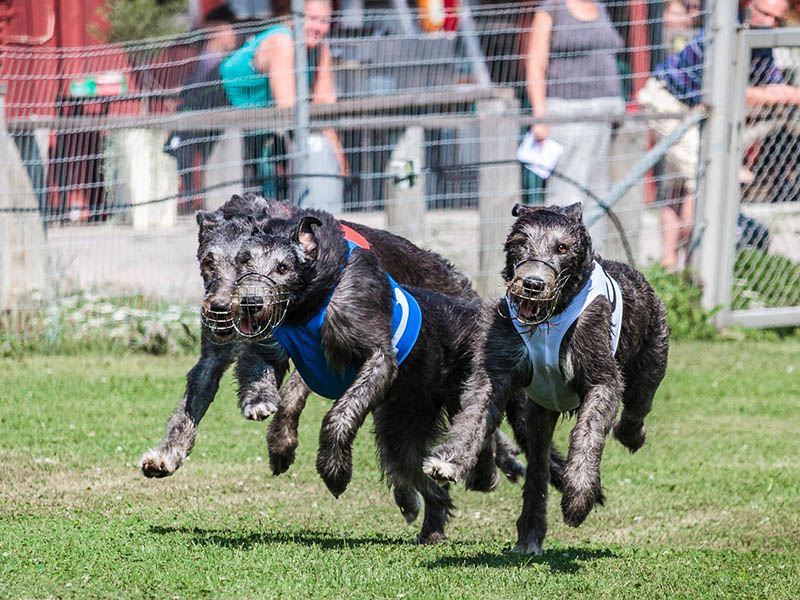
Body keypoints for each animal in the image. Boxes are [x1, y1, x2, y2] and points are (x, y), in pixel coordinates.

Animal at [424, 204, 668, 556]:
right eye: (520, 242)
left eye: (562, 248)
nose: (533, 284)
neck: (548, 318)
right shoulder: (496, 369)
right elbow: (473, 416)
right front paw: (450, 461)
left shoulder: (601, 378)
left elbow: (588, 433)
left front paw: (579, 496)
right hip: (538, 414)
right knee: (537, 469)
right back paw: (529, 533)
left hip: (652, 358)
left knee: (638, 405)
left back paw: (631, 434)